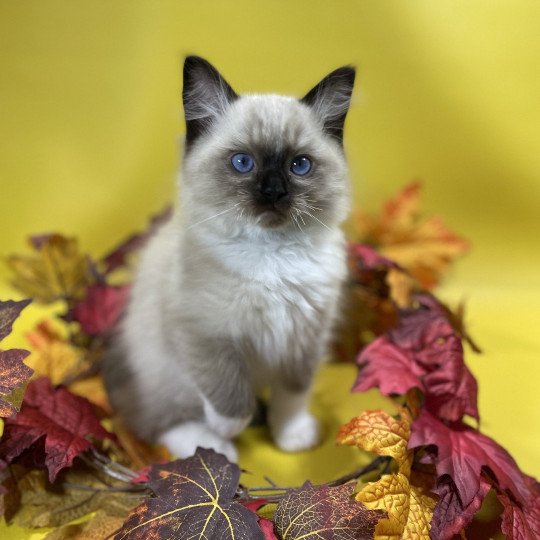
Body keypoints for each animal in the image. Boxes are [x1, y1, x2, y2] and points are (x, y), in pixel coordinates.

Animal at [103, 57, 356, 462]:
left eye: (299, 166)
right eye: (242, 162)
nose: (273, 192)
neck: (273, 256)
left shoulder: (305, 337)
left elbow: (293, 393)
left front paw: (291, 435)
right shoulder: (207, 335)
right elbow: (232, 400)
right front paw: (230, 427)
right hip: (166, 371)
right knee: (156, 421)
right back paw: (213, 447)